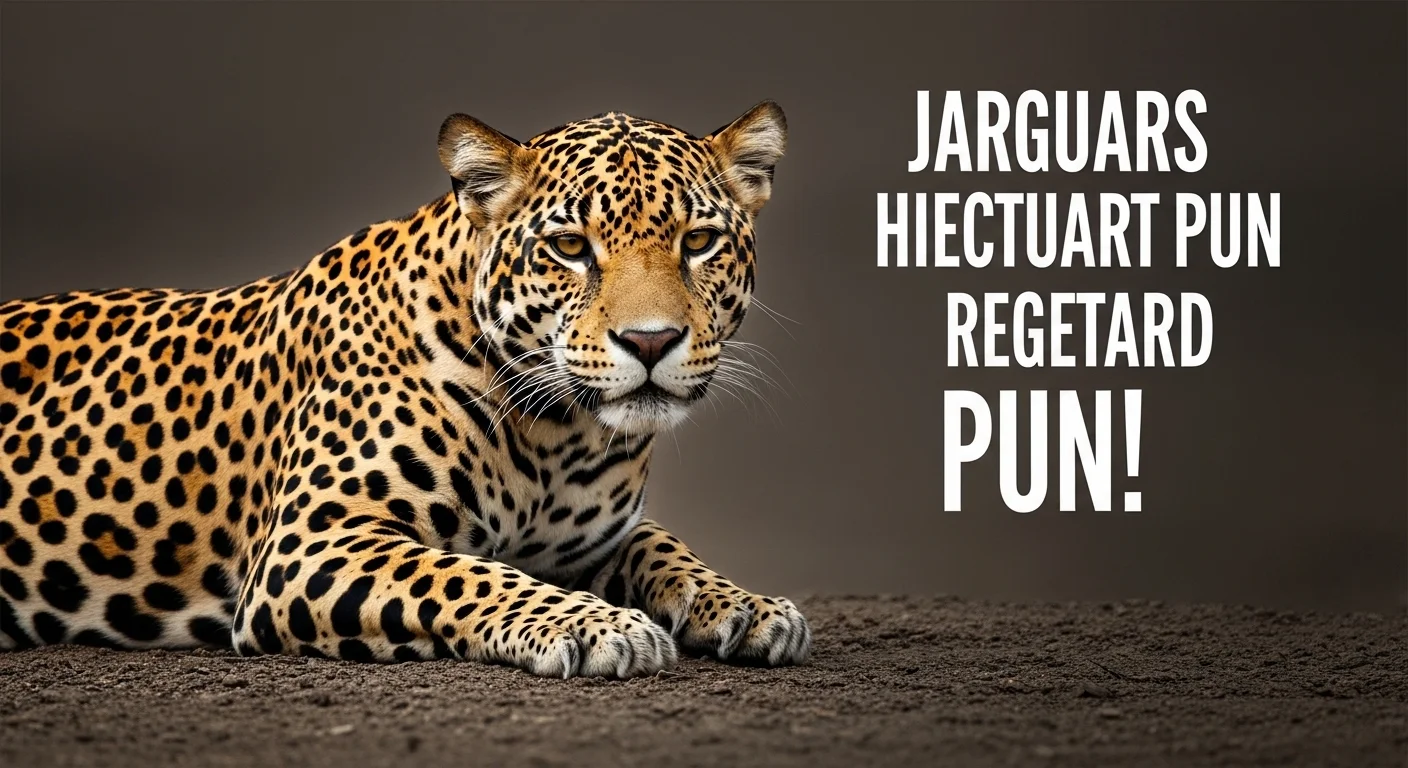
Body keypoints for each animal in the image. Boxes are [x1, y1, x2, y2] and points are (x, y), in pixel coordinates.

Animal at [0, 102, 811, 677]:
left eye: (698, 242)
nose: (649, 342)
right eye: (569, 248)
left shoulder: (592, 540)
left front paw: (745, 605)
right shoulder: (313, 540)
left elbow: (665, 546)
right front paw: (596, 625)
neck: (559, 436)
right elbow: (465, 574)